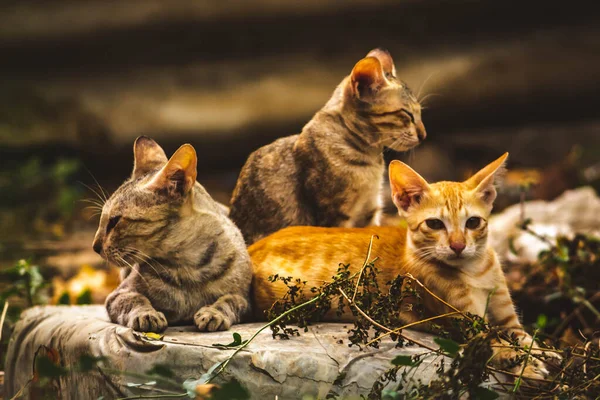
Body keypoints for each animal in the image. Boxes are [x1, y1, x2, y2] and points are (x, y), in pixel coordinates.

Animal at [92, 137, 252, 332]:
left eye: (115, 221)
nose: (94, 246)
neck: (188, 266)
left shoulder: (245, 300)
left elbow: (229, 300)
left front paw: (214, 312)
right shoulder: (119, 294)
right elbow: (136, 300)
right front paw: (146, 314)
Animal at [230, 48, 426, 245]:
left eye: (420, 112)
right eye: (407, 114)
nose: (424, 135)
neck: (369, 160)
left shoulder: (370, 209)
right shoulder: (334, 213)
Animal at [248, 153, 552, 378]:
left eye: (473, 222)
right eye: (435, 224)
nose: (457, 246)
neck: (475, 271)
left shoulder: (508, 318)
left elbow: (525, 338)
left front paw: (542, 353)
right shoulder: (467, 323)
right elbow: (495, 341)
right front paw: (524, 364)